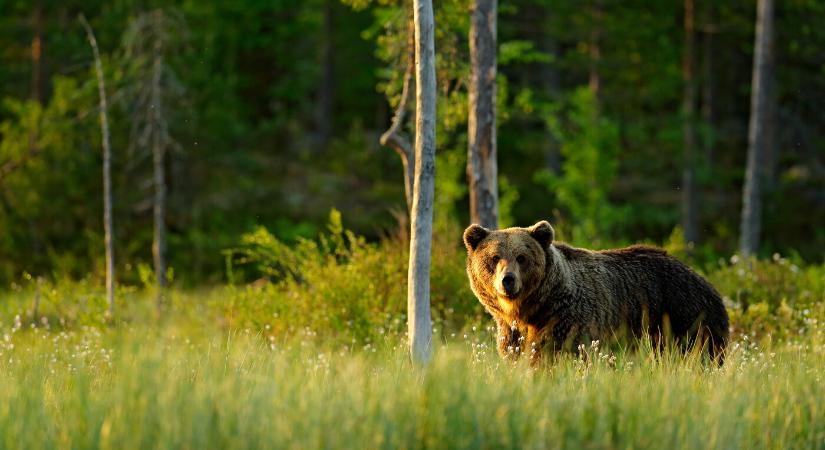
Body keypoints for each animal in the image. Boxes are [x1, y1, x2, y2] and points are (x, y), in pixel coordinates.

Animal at [464, 221, 728, 366]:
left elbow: (553, 355)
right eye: (494, 257)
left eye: (521, 257)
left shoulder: (568, 321)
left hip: (684, 317)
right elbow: (515, 353)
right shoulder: (511, 332)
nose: (508, 280)